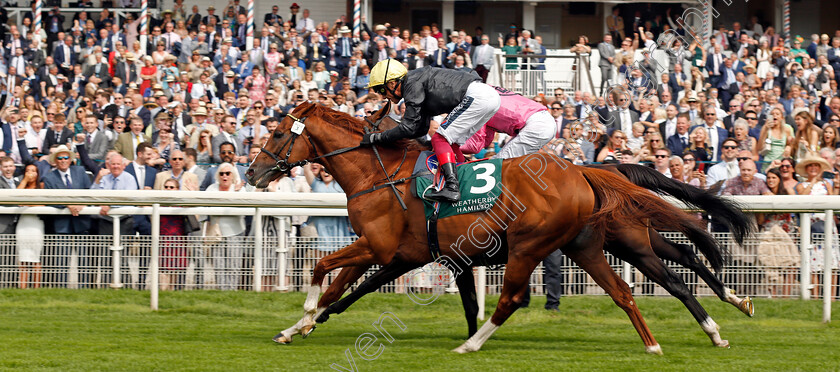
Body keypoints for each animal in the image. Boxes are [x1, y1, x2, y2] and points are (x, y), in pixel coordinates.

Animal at [246, 102, 712, 354]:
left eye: (279, 132)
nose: (252, 172)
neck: (378, 174)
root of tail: (583, 172)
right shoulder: (394, 251)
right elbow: (338, 289)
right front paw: (296, 328)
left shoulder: (381, 247)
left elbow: (323, 270)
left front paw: (304, 316)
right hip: (585, 247)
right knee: (624, 291)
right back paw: (657, 342)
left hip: (530, 245)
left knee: (514, 298)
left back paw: (471, 344)